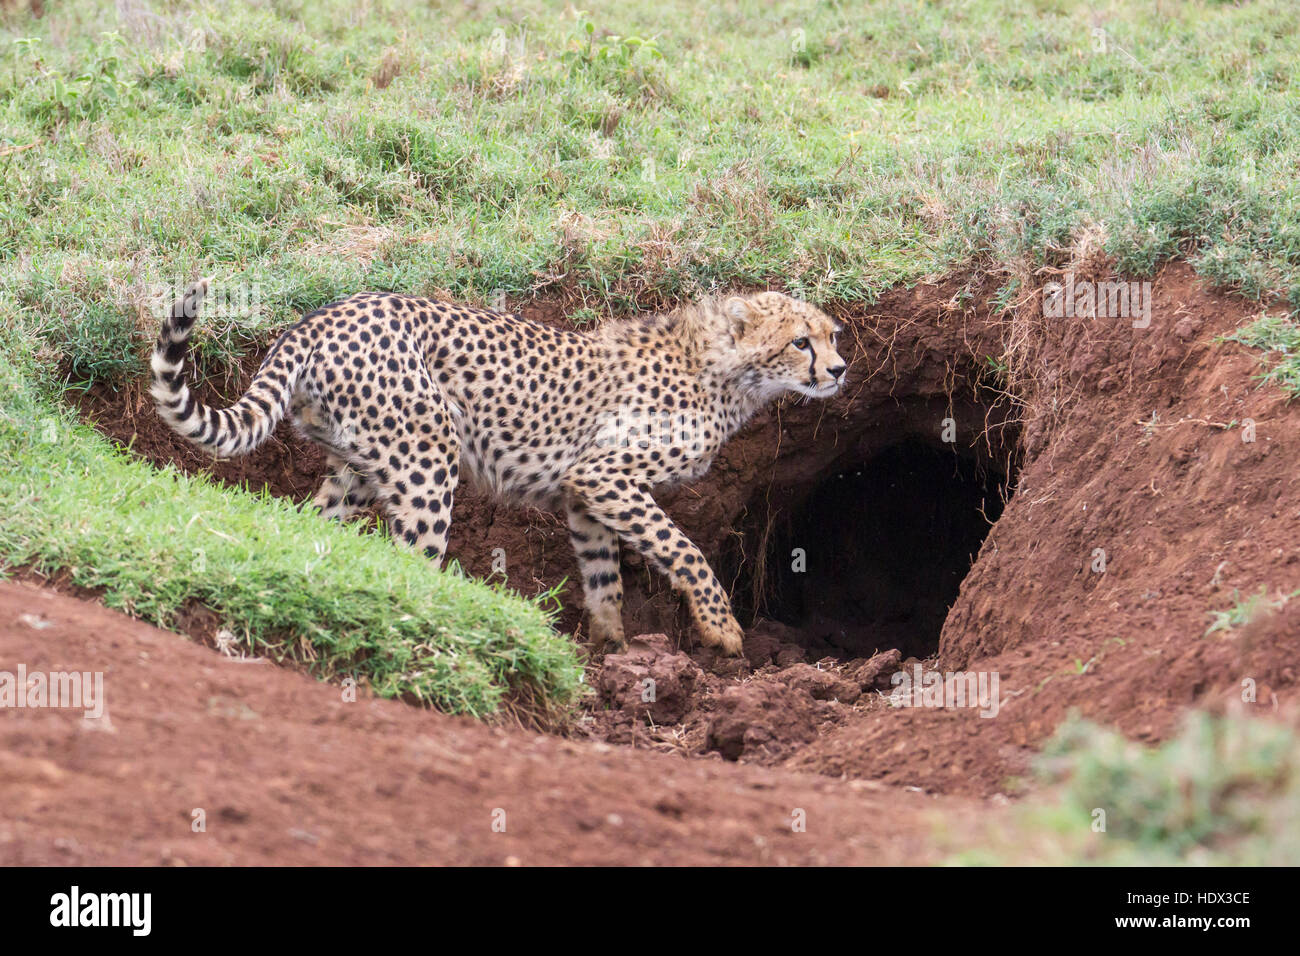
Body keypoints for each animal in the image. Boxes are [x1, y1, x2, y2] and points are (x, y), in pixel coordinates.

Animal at [152, 282, 842, 658]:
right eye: (800, 341)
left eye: (832, 335)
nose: (839, 370)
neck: (726, 370)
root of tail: (328, 312)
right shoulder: (606, 475)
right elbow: (685, 549)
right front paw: (721, 631)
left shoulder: (585, 495)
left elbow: (604, 576)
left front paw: (612, 649)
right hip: (429, 455)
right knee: (411, 558)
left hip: (357, 467)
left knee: (315, 526)